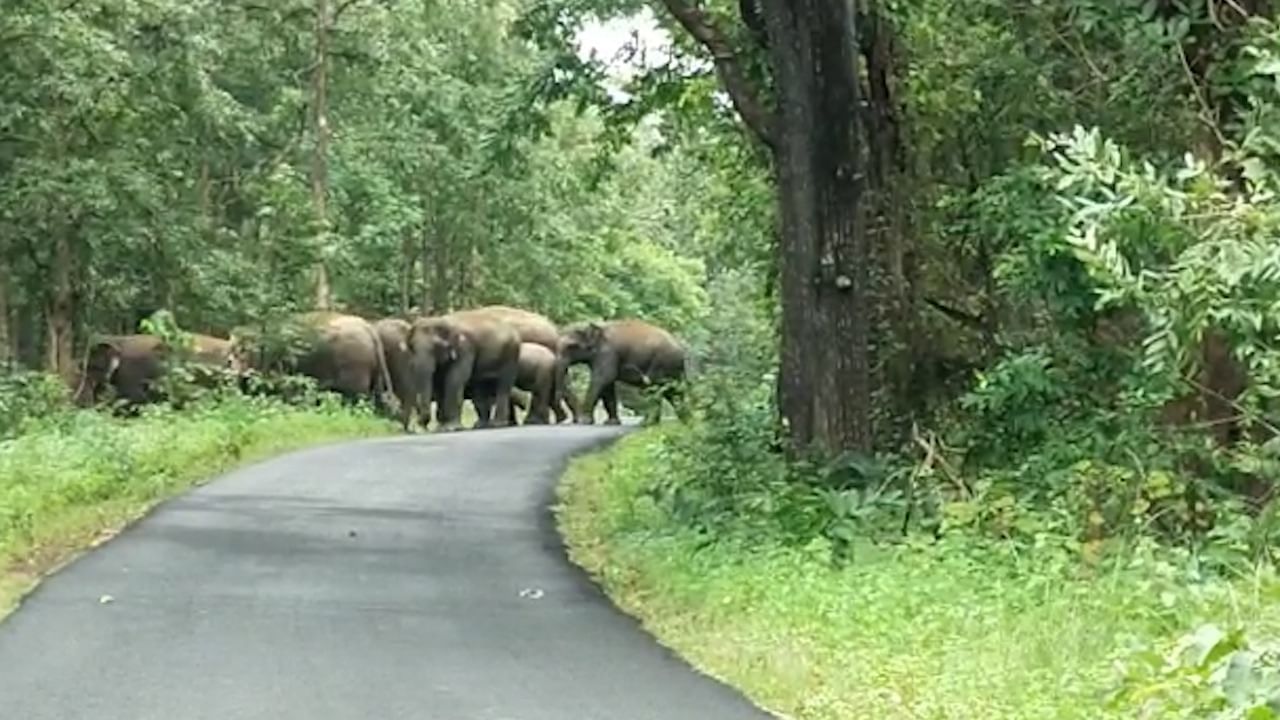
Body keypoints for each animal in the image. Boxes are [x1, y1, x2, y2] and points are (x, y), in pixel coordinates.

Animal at [74, 333, 235, 409]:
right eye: (83, 367)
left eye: (93, 367)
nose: (76, 402)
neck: (119, 340)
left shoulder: (131, 372)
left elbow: (133, 399)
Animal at [227, 311, 391, 412]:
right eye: (231, 352)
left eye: (242, 351)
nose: (231, 370)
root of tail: (369, 329)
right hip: (374, 369)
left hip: (354, 364)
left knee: (357, 395)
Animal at [555, 316, 686, 422]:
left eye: (571, 346)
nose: (574, 420)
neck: (598, 326)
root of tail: (681, 349)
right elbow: (608, 386)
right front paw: (611, 422)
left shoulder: (608, 353)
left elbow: (603, 378)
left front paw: (585, 421)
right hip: (672, 369)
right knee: (673, 391)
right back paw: (685, 418)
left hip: (662, 363)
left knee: (654, 388)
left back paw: (648, 423)